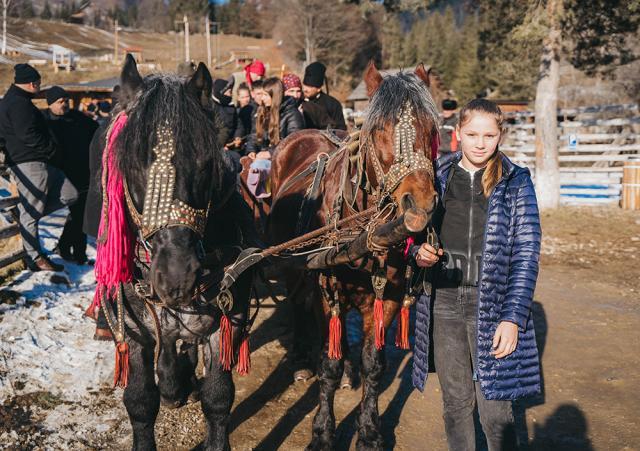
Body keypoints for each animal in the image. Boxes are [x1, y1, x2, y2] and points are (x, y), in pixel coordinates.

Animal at [97, 54, 252, 450]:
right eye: (133, 165)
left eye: (205, 163)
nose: (177, 276)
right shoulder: (135, 331)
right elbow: (140, 401)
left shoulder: (224, 321)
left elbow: (218, 398)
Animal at [264, 61, 440, 450]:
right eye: (378, 130)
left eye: (433, 131)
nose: (419, 204)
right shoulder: (324, 287)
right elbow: (328, 363)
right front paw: (322, 432)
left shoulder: (388, 297)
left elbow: (374, 363)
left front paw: (370, 432)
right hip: (295, 269)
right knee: (300, 307)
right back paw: (301, 361)